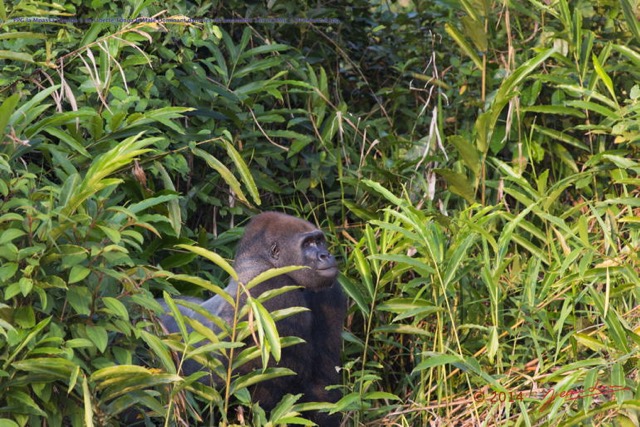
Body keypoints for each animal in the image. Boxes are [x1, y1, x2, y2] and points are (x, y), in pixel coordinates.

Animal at [162, 212, 348, 426]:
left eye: (319, 241)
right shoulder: (277, 289)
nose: (326, 255)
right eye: (308, 244)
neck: (261, 263)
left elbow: (324, 379)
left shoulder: (329, 292)